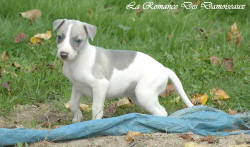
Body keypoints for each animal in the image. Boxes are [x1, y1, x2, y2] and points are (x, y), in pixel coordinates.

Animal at [52, 19, 193, 122]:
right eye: (60, 37)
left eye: (78, 40)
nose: (63, 54)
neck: (78, 60)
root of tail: (164, 69)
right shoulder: (77, 86)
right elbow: (73, 104)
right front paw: (77, 119)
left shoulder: (100, 85)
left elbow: (96, 108)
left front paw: (94, 124)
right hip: (138, 97)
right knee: (160, 110)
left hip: (144, 94)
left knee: (162, 112)